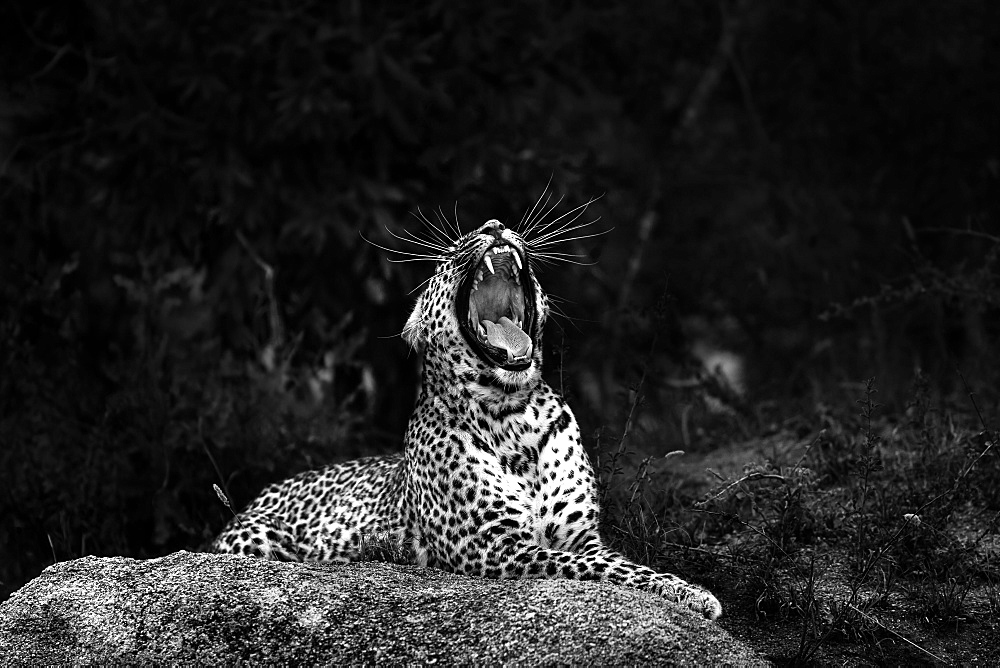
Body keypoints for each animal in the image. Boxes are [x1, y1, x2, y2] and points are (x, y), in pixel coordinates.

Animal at [215, 206, 724, 620]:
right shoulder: (492, 546)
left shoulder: (580, 534)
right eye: (447, 258)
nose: (493, 225)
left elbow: (616, 562)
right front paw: (695, 595)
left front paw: (686, 590)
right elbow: (593, 567)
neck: (515, 414)